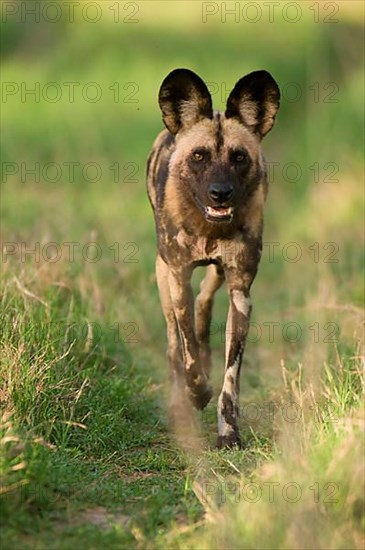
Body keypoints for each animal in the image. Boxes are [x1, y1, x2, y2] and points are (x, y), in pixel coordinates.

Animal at [146, 68, 280, 448]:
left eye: (239, 157)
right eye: (199, 156)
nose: (220, 193)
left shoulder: (240, 294)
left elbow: (230, 378)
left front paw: (229, 431)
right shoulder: (178, 278)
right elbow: (187, 350)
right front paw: (197, 392)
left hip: (219, 275)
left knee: (205, 300)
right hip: (164, 279)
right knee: (174, 342)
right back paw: (180, 400)